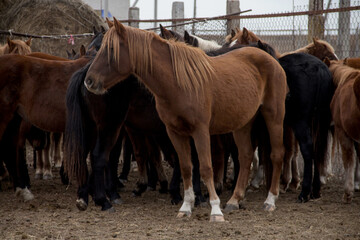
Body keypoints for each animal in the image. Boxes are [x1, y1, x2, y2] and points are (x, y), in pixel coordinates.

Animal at [81, 19, 286, 223]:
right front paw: (186, 207)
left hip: (274, 117)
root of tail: (271, 59)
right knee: (245, 157)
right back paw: (235, 200)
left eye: (110, 49)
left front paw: (215, 210)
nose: (89, 81)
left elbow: (205, 168)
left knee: (276, 155)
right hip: (242, 124)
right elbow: (186, 167)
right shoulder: (175, 132)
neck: (179, 83)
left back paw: (270, 200)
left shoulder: (201, 131)